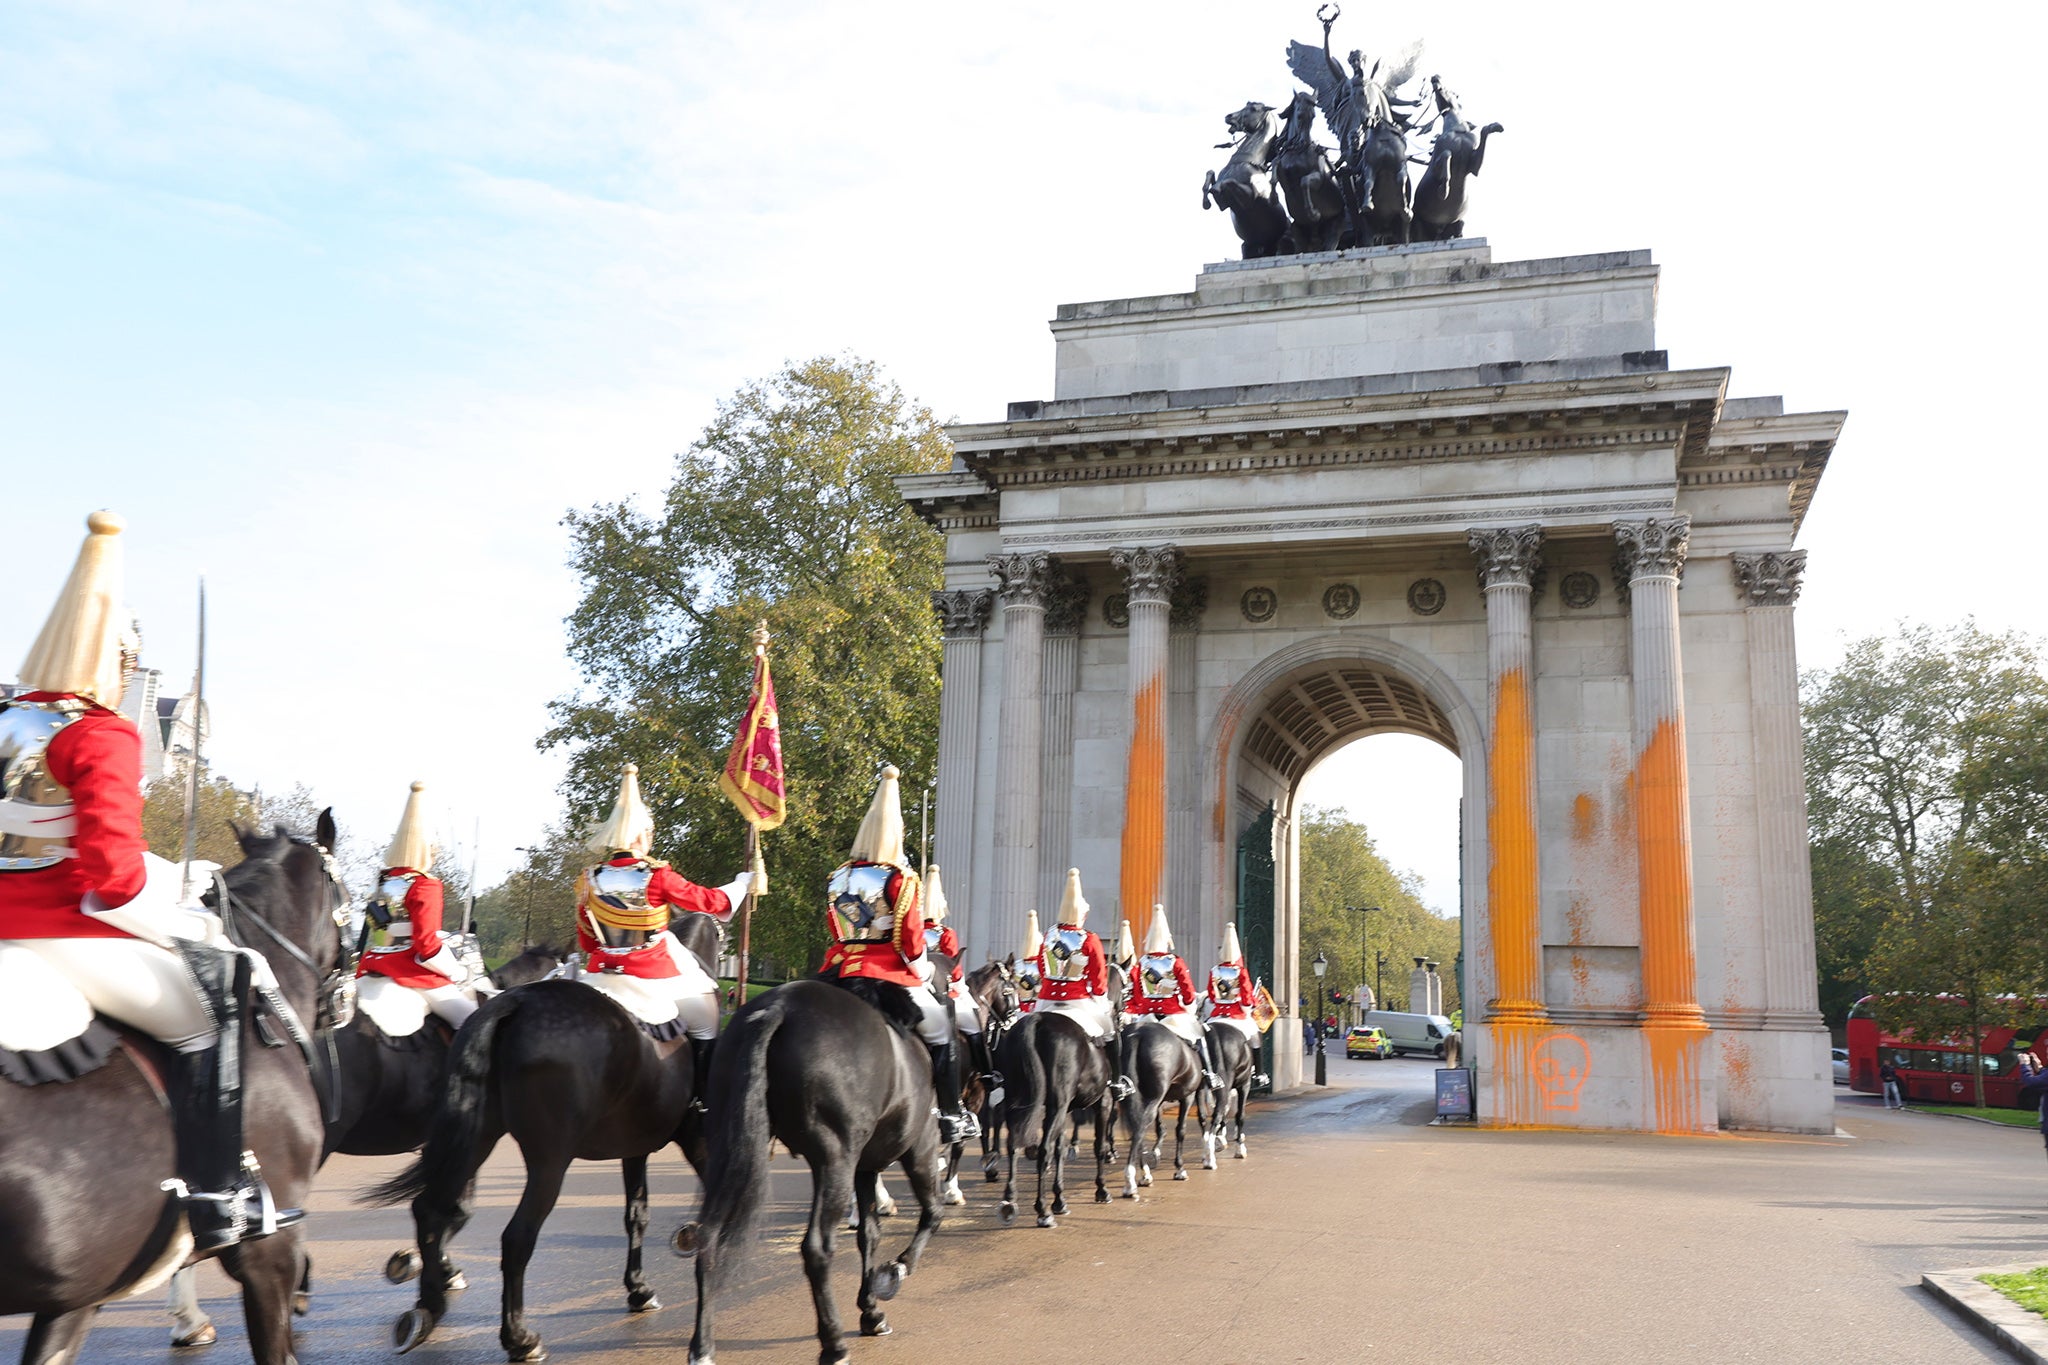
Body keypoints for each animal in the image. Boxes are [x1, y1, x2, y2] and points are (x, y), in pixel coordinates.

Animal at [372, 908, 724, 1365]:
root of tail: (515, 1002)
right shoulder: (695, 1140)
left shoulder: (636, 1148)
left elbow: (636, 1215)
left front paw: (638, 1287)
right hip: (549, 1160)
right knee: (516, 1237)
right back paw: (519, 1337)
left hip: (480, 1137)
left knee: (431, 1210)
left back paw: (428, 1308)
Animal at [679, 982, 950, 1365]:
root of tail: (779, 1006)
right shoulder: (919, 1149)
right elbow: (932, 1213)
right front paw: (896, 1270)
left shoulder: (865, 1167)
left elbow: (869, 1233)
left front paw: (871, 1311)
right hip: (836, 1160)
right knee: (817, 1248)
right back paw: (833, 1343)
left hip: (729, 1149)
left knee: (709, 1236)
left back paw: (702, 1346)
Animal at [1114, 1015, 1204, 1195]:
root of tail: (1137, 1033)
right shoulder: (1187, 1097)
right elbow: (1180, 1130)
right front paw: (1179, 1168)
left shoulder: (1161, 1100)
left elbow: (1160, 1127)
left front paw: (1156, 1153)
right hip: (1156, 1096)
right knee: (1141, 1125)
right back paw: (1130, 1180)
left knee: (1138, 1124)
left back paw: (1144, 1174)